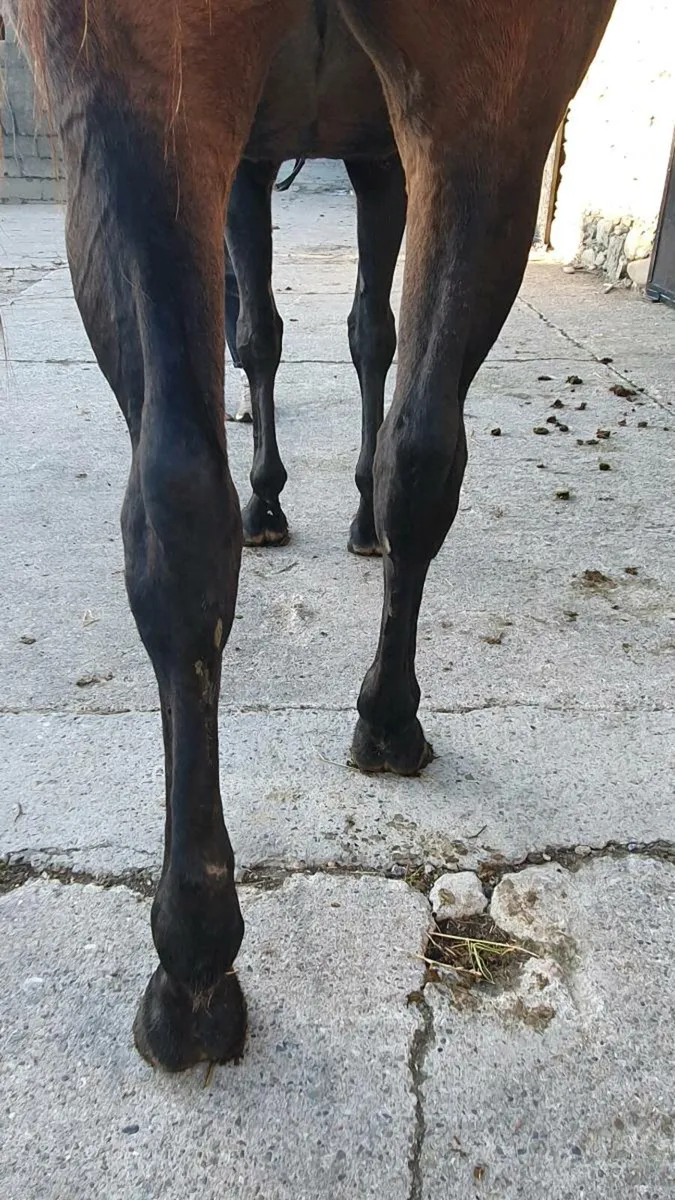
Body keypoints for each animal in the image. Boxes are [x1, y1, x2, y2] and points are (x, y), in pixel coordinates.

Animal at [8, 0, 616, 1071]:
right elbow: (334, 339)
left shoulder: (320, 161)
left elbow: (298, 330)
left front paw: (288, 503)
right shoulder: (335, 158)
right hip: (493, 98)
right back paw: (384, 720)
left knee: (184, 494)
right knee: (406, 452)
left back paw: (192, 961)